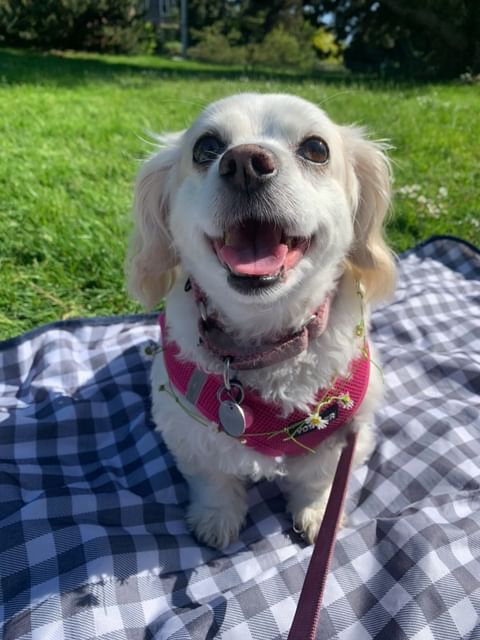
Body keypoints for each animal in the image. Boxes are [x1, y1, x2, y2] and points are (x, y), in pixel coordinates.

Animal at [126, 92, 394, 548]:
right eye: (206, 148)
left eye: (316, 148)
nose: (246, 162)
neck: (265, 342)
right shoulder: (186, 429)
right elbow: (212, 479)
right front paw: (216, 518)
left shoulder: (347, 435)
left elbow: (320, 482)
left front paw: (318, 514)